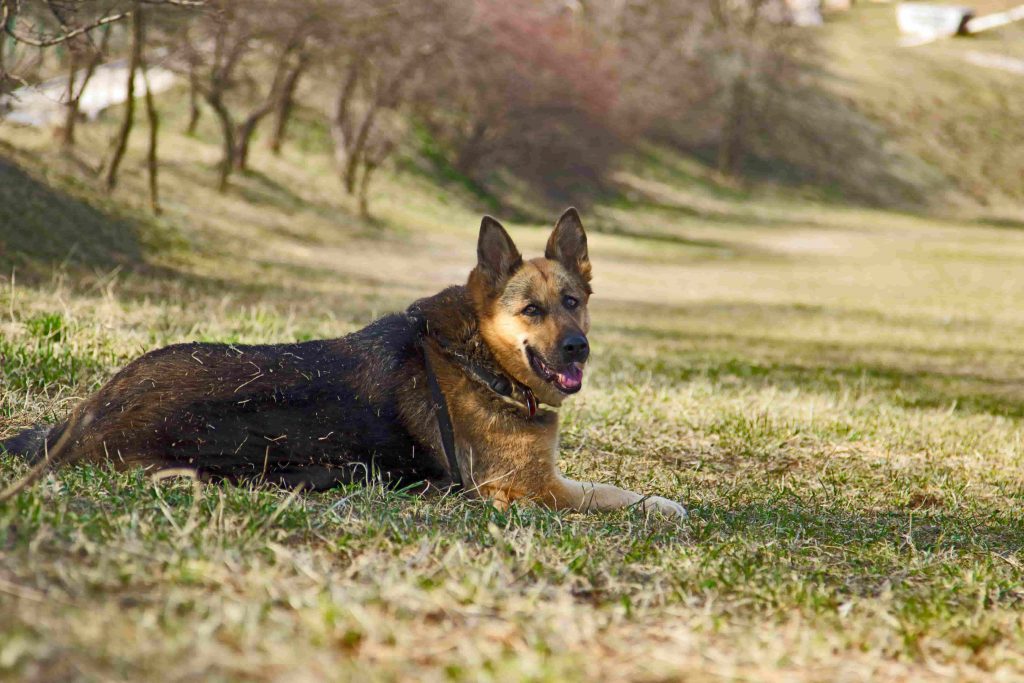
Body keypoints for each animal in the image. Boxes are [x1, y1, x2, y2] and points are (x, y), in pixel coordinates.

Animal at [4, 208, 688, 518]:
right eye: (531, 310)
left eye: (573, 303)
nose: (577, 348)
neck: (476, 357)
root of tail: (87, 417)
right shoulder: (530, 488)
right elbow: (614, 493)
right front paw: (663, 504)